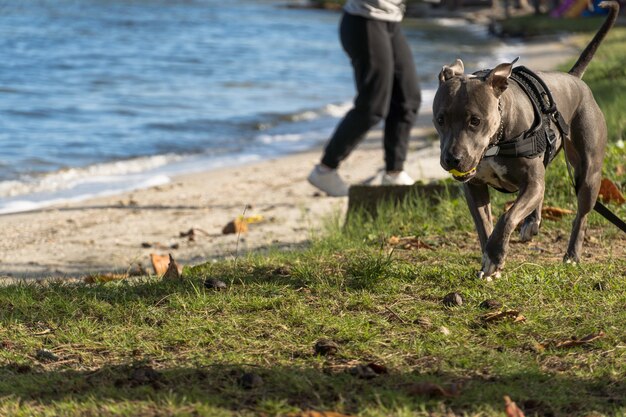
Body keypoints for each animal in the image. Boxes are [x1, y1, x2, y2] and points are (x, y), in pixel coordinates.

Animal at [434, 1, 620, 280]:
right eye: (440, 119)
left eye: (475, 121)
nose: (452, 159)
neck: (495, 142)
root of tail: (575, 79)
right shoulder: (474, 186)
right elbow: (484, 224)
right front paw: (489, 260)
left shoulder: (529, 182)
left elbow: (507, 217)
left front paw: (495, 255)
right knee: (542, 191)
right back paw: (532, 222)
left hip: (588, 174)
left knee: (581, 214)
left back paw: (572, 254)